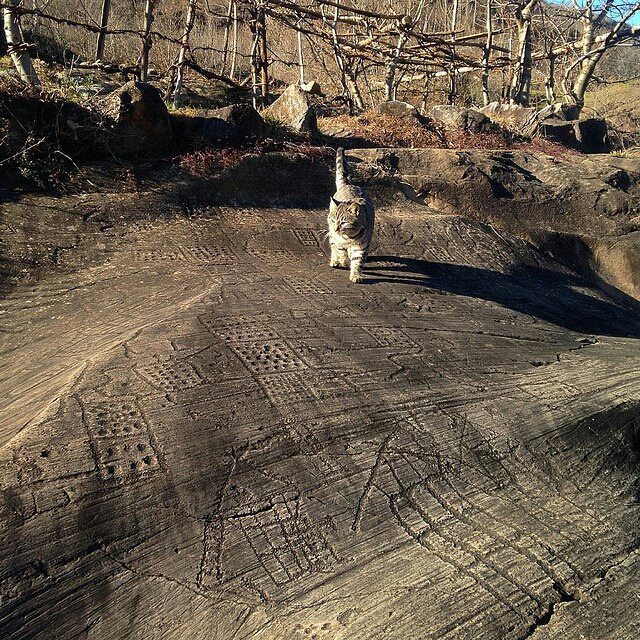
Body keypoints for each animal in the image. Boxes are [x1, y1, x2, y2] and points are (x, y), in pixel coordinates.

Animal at [327, 148, 375, 283]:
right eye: (333, 221)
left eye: (343, 222)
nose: (336, 228)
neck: (350, 237)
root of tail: (348, 184)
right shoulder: (338, 240)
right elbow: (340, 251)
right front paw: (343, 261)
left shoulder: (362, 247)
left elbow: (358, 262)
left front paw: (356, 275)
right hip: (331, 234)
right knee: (333, 245)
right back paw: (335, 260)